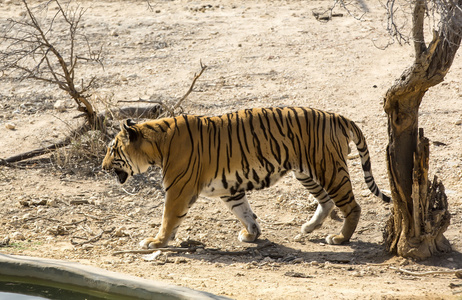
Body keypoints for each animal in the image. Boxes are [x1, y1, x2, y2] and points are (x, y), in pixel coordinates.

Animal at [102, 107, 390, 248]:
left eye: (111, 150)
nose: (103, 167)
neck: (157, 145)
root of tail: (336, 116)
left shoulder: (178, 190)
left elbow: (168, 218)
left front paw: (156, 241)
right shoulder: (230, 189)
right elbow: (244, 211)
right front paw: (252, 234)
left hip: (328, 169)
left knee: (352, 206)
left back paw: (340, 239)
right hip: (307, 172)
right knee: (327, 201)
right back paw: (309, 228)